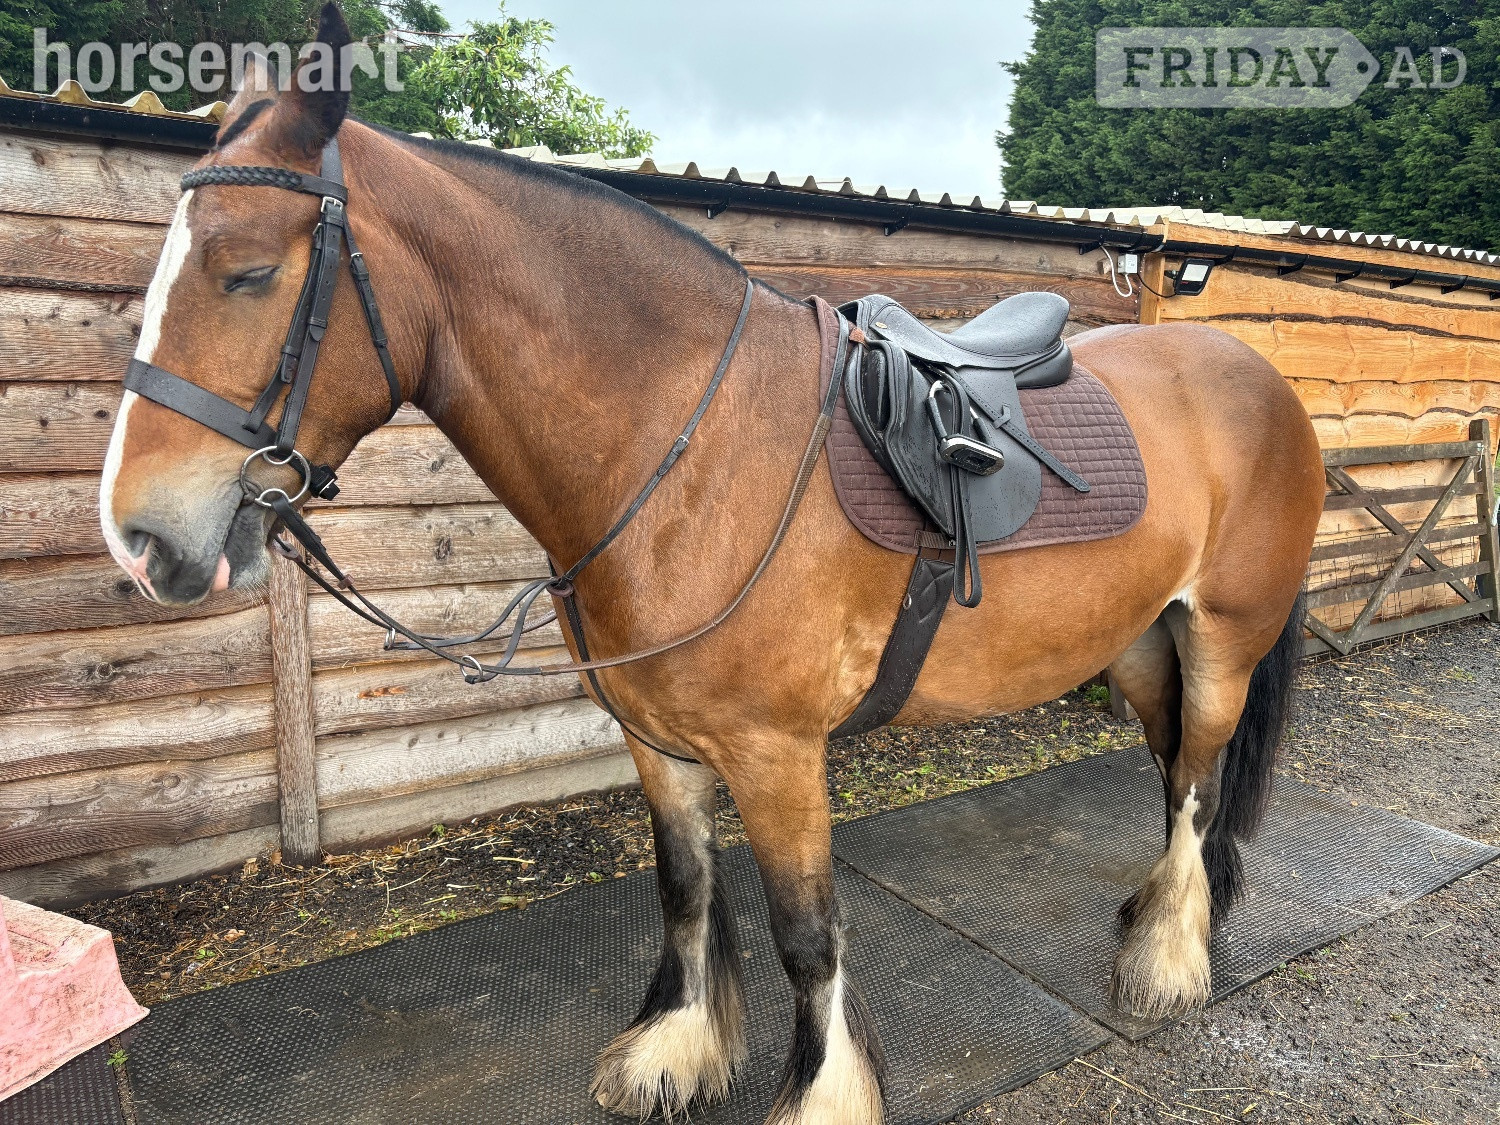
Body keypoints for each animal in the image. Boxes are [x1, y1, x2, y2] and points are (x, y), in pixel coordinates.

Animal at [98, 8, 1325, 1122]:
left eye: (249, 272)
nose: (140, 536)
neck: (686, 448)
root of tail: (1254, 372)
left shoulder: (777, 754)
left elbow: (806, 933)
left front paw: (822, 1097)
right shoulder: (656, 738)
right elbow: (685, 887)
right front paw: (678, 1050)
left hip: (1221, 640)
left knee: (1199, 783)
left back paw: (1167, 963)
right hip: (1140, 645)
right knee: (1173, 780)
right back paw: (1167, 921)